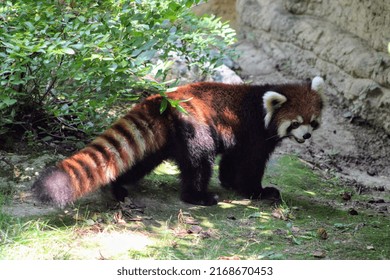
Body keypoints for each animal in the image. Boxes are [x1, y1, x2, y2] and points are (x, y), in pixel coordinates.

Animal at [30, 77, 324, 207]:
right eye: (295, 123)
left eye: (313, 121)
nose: (307, 136)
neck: (262, 106)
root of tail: (163, 100)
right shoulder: (253, 132)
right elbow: (250, 164)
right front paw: (258, 192)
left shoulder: (240, 134)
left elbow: (232, 160)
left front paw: (230, 181)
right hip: (194, 128)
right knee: (199, 163)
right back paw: (198, 196)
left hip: (161, 140)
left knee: (139, 161)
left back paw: (116, 186)